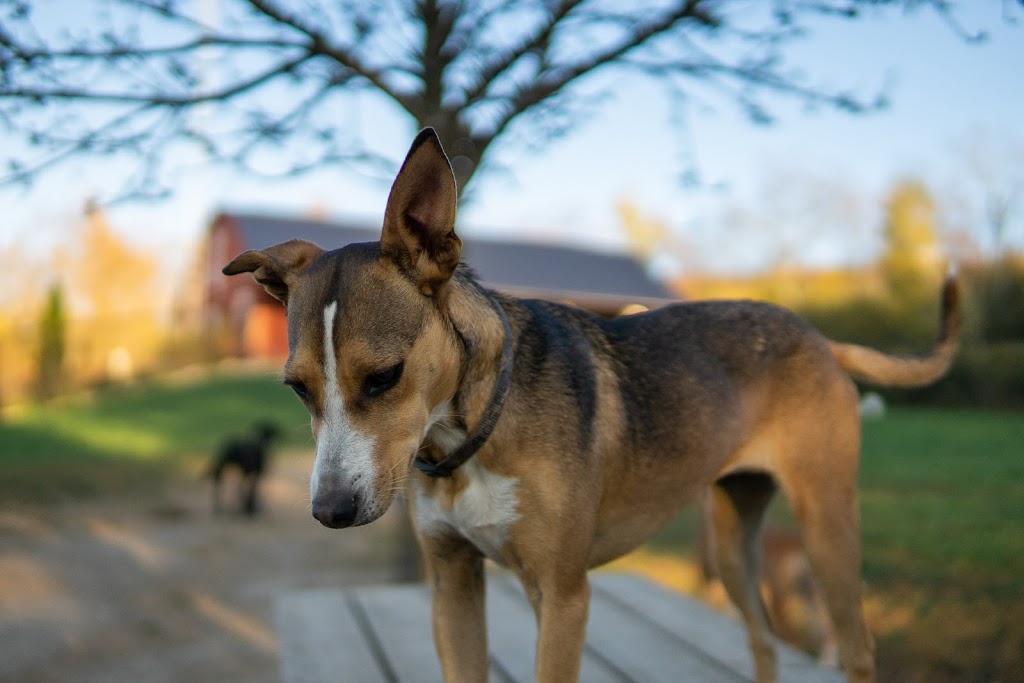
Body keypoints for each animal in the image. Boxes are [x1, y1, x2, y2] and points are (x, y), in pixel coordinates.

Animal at [222, 129, 958, 683]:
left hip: (827, 529)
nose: (330, 511)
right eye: (298, 387)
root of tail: (819, 336)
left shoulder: (563, 598)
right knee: (764, 641)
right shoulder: (453, 585)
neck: (475, 433)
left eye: (384, 377)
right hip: (730, 544)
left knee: (856, 649)